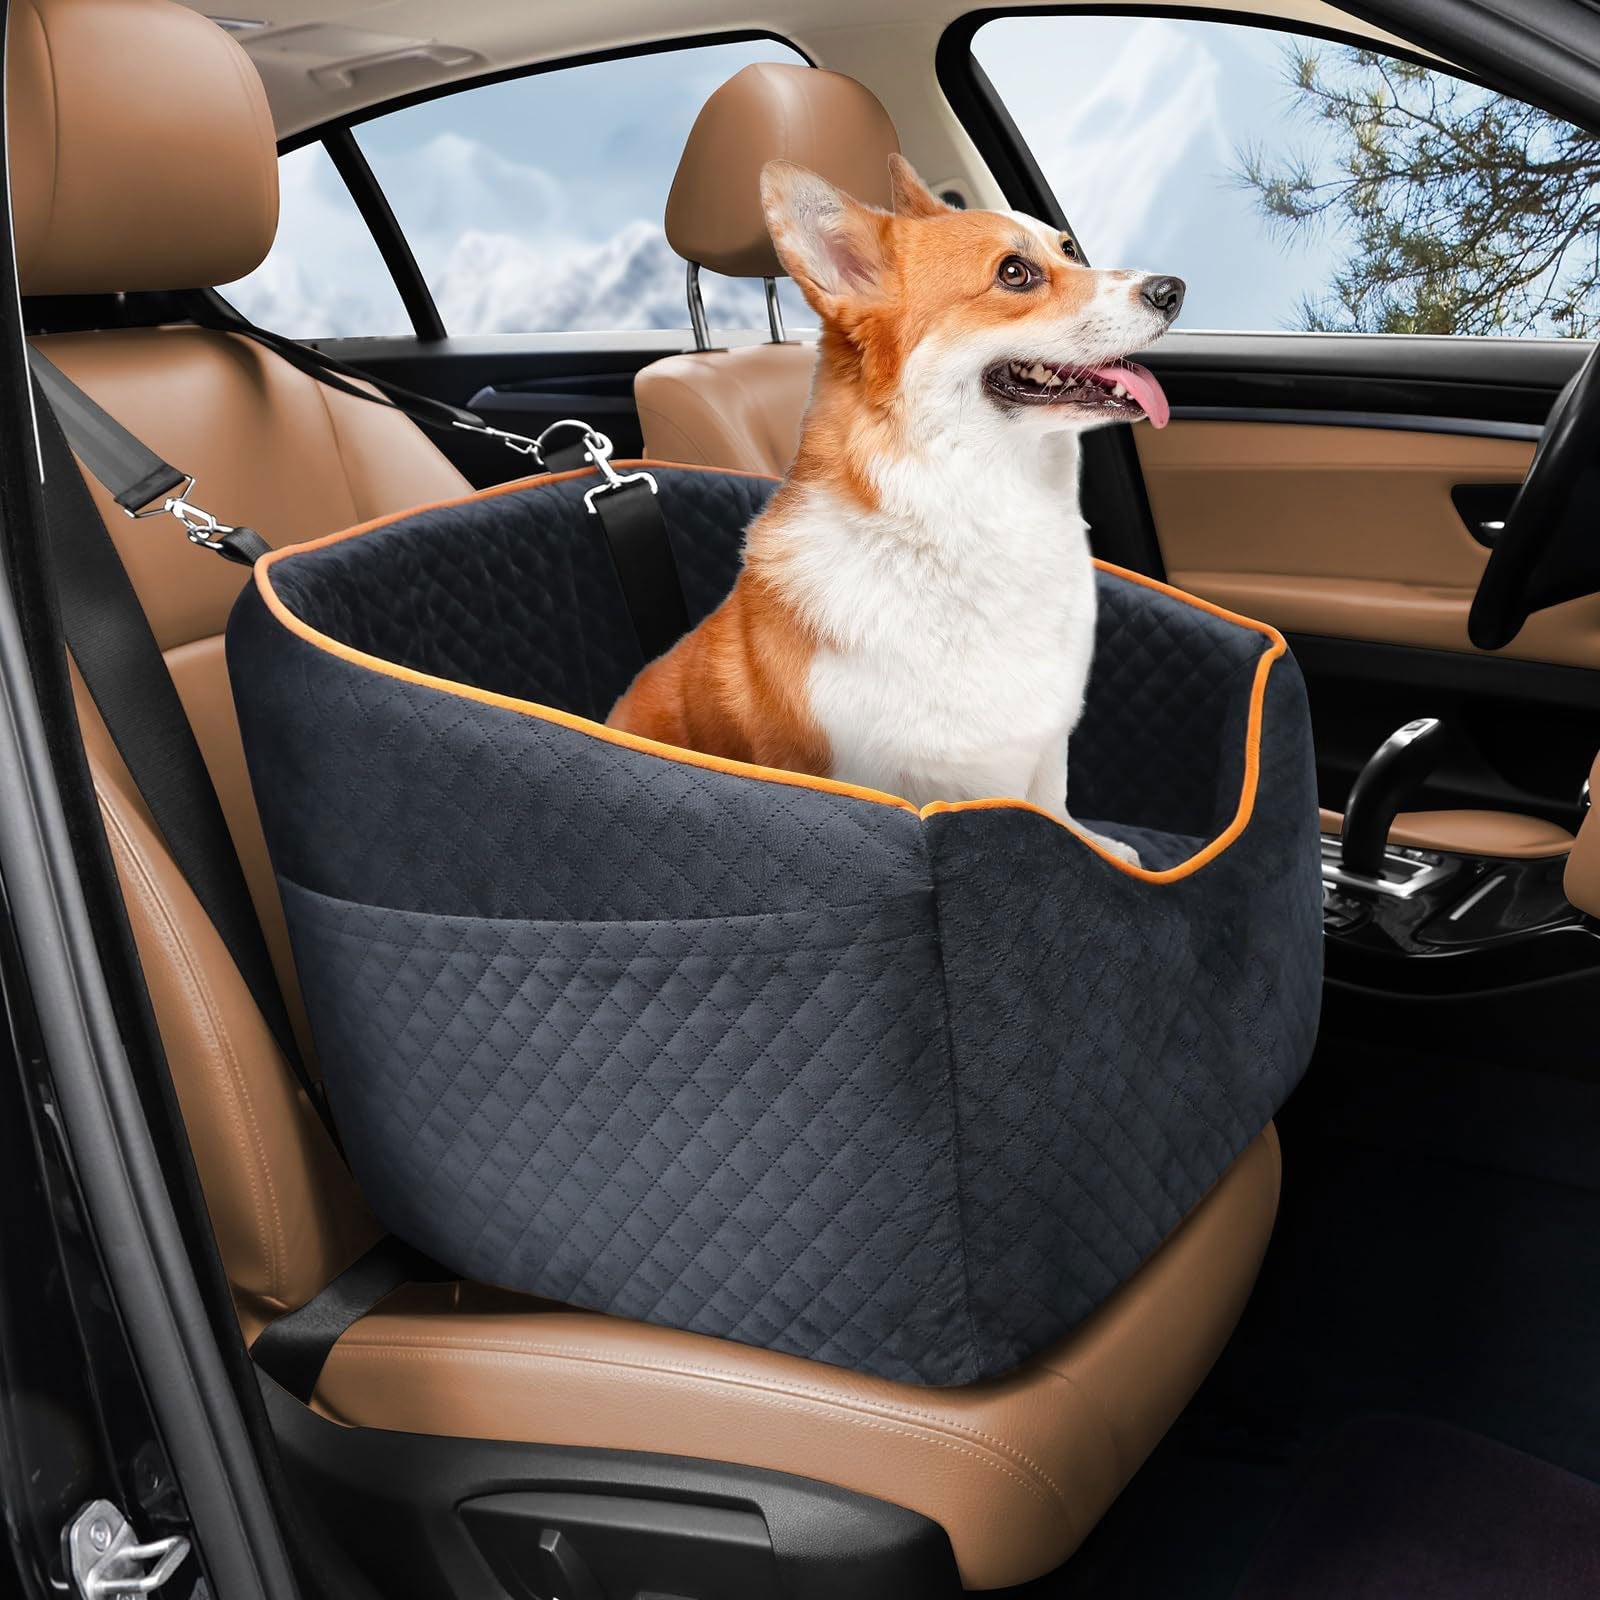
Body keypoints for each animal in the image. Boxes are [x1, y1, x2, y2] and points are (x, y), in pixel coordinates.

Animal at [604, 152, 1184, 864]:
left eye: (1067, 249)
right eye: (1013, 273)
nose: (1173, 289)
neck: (975, 514)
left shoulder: (1046, 742)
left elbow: (1053, 804)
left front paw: (1093, 845)